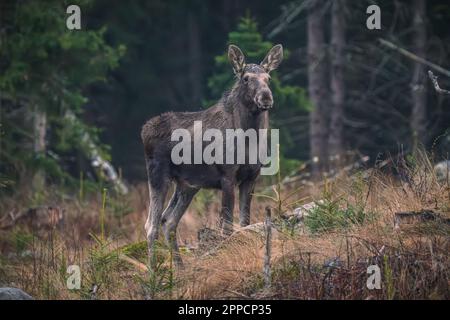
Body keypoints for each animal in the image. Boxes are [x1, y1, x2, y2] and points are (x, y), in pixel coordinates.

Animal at [141, 43, 284, 266]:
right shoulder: (227, 176)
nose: (266, 97)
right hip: (158, 176)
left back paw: (179, 268)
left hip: (187, 185)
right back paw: (153, 272)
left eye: (268, 78)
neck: (249, 139)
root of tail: (144, 130)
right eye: (245, 78)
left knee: (168, 220)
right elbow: (226, 226)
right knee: (151, 225)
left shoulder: (251, 177)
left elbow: (244, 222)